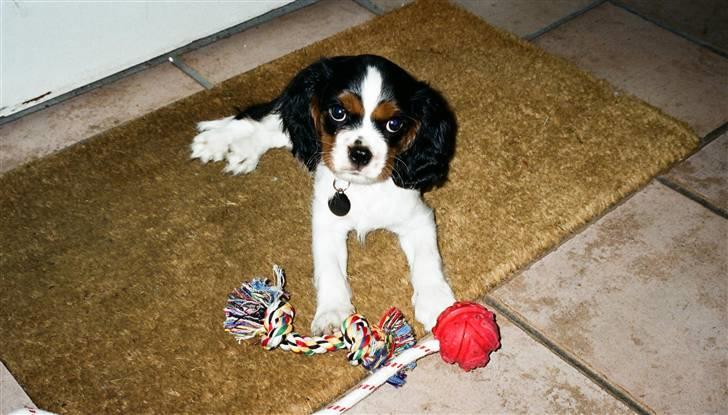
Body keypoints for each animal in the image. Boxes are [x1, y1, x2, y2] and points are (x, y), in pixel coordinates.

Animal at [193, 54, 456, 334]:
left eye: (394, 124)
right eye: (338, 113)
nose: (360, 154)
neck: (361, 187)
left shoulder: (417, 217)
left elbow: (427, 259)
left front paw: (437, 303)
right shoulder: (326, 223)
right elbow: (329, 268)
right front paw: (333, 313)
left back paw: (240, 150)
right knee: (268, 122)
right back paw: (215, 142)